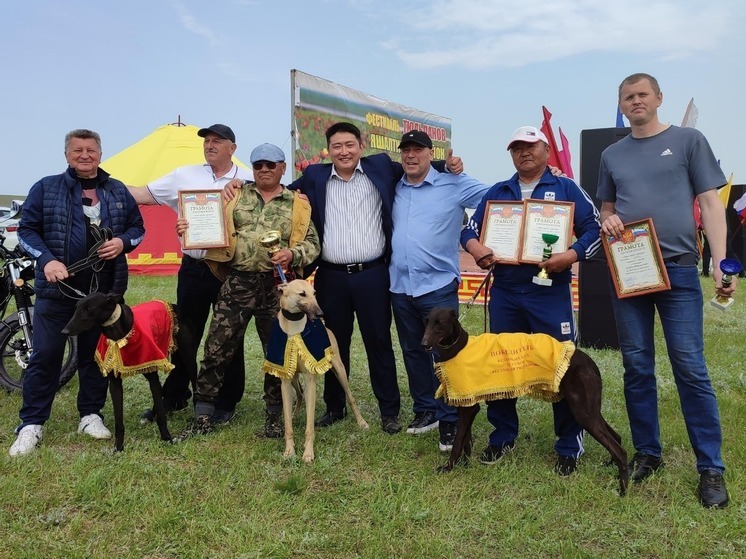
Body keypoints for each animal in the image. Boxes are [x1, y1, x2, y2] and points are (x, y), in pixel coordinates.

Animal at [264, 280, 368, 464]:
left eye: (314, 292)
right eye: (302, 294)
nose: (320, 313)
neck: (294, 328)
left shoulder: (310, 378)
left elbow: (310, 426)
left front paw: (308, 453)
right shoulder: (285, 381)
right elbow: (288, 425)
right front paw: (289, 451)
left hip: (339, 370)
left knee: (350, 397)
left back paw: (361, 422)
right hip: (294, 378)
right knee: (300, 395)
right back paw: (295, 413)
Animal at [422, 308, 624, 496]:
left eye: (440, 323)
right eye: (427, 321)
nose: (423, 343)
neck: (458, 348)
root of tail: (590, 362)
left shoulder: (468, 409)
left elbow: (457, 443)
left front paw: (448, 467)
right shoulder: (466, 403)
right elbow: (466, 441)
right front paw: (464, 464)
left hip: (583, 412)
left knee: (619, 449)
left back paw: (622, 489)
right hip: (590, 409)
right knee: (617, 437)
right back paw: (611, 465)